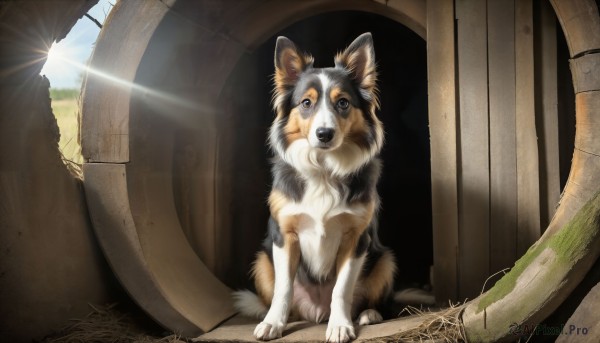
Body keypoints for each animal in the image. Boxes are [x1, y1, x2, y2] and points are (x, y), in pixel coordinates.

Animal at [232, 33, 396, 343]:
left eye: (343, 103)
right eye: (306, 103)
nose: (324, 134)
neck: (323, 168)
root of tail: (316, 312)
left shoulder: (357, 238)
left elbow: (341, 289)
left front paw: (340, 325)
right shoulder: (284, 235)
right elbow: (283, 289)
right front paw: (273, 323)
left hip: (385, 259)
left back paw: (369, 314)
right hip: (261, 262)